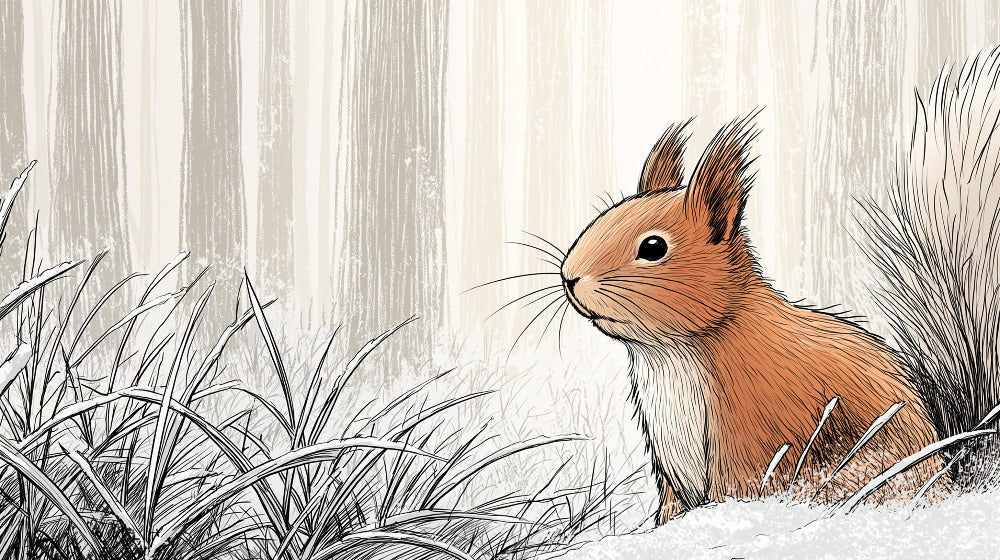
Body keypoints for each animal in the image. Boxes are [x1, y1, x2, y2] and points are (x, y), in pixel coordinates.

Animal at [560, 48, 1000, 524]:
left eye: (653, 247)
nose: (570, 277)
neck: (672, 353)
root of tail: (945, 483)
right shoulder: (670, 466)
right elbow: (671, 507)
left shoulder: (750, 430)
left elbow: (738, 489)